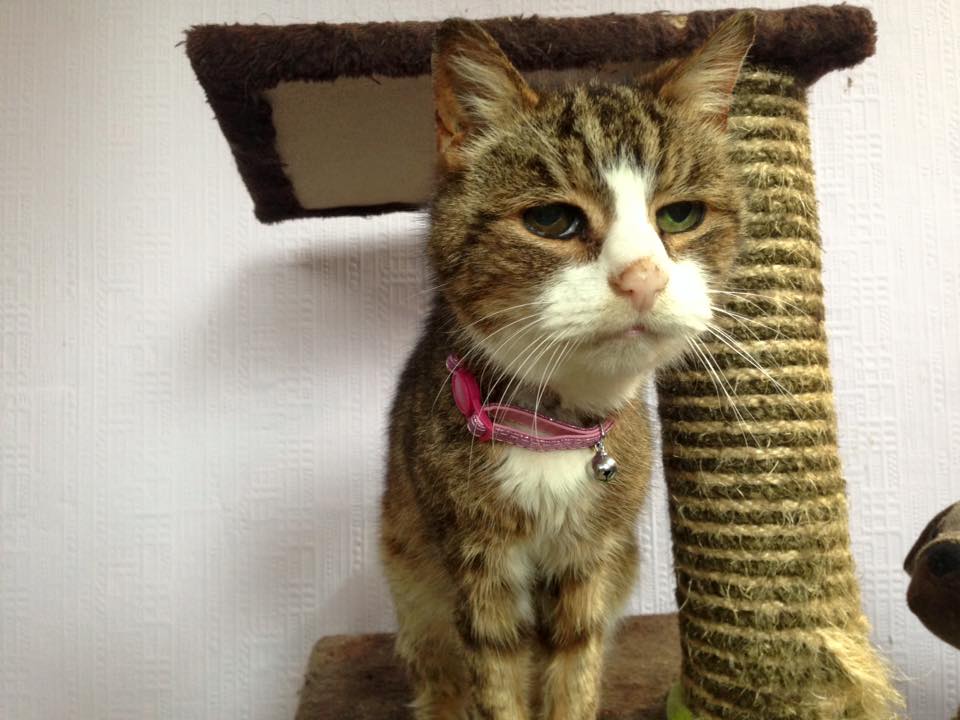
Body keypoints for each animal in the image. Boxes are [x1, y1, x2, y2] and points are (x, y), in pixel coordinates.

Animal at [378, 12, 752, 720]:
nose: (643, 277)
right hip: (410, 573)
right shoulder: (477, 558)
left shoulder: (592, 555)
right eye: (552, 220)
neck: (550, 430)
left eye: (680, 214)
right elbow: (496, 674)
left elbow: (574, 661)